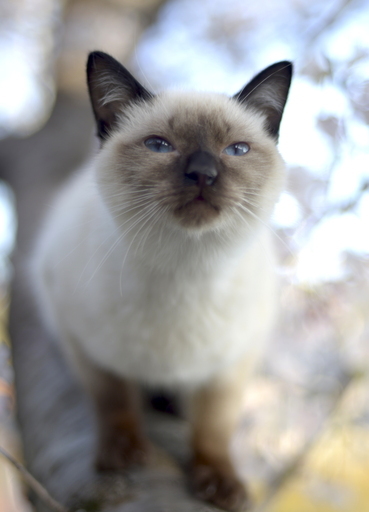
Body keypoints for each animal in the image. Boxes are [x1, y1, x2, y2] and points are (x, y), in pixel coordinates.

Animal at [30, 53, 290, 512]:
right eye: (159, 146)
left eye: (236, 150)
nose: (203, 172)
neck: (184, 274)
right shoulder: (81, 339)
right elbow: (113, 398)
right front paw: (123, 455)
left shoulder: (232, 364)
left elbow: (214, 427)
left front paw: (220, 485)